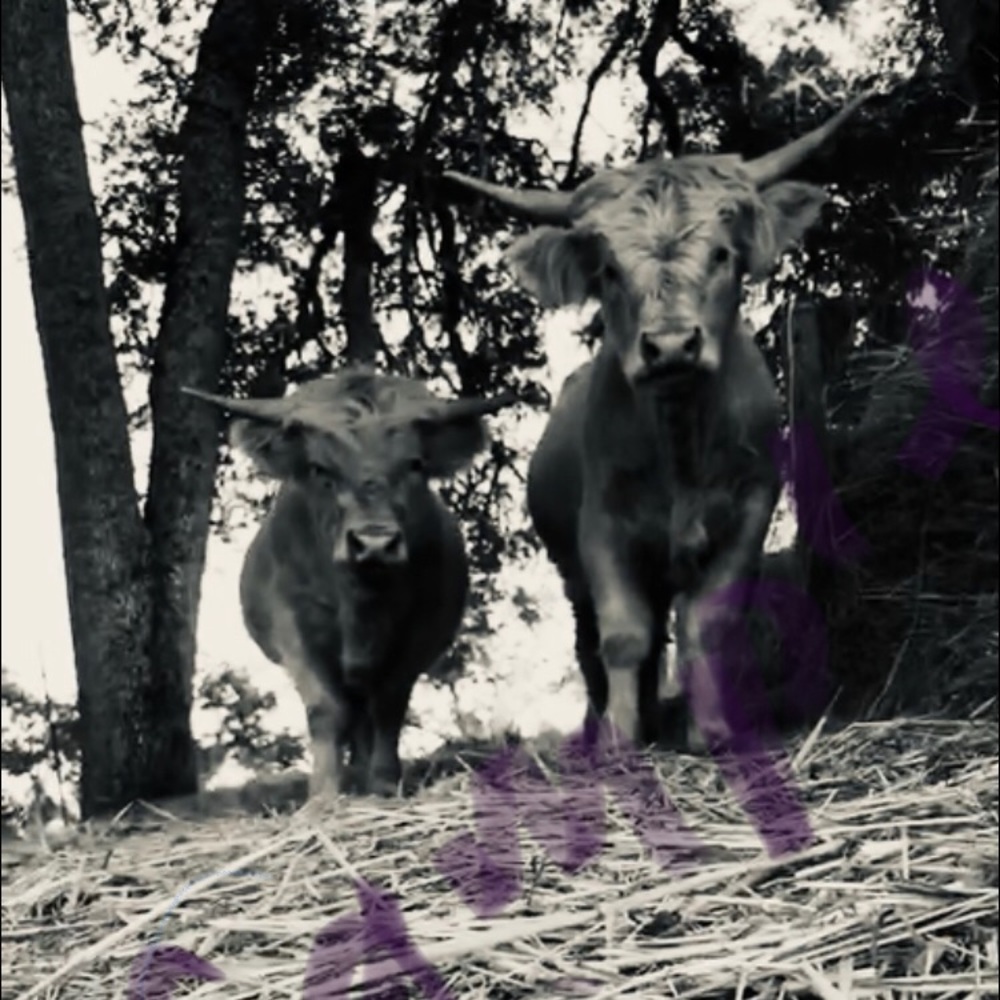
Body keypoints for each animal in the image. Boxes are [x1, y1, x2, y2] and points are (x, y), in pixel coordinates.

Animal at [186, 371, 516, 797]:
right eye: (319, 469)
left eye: (415, 465)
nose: (374, 542)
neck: (361, 603)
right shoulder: (293, 624)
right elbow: (326, 709)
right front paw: (324, 795)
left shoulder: (420, 630)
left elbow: (389, 706)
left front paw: (384, 784)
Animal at [440, 96, 869, 752]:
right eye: (609, 271)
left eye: (721, 254)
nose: (669, 345)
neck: (680, 439)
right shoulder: (602, 527)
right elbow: (622, 634)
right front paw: (620, 739)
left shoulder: (750, 510)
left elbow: (709, 623)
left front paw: (710, 730)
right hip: (571, 569)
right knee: (592, 643)